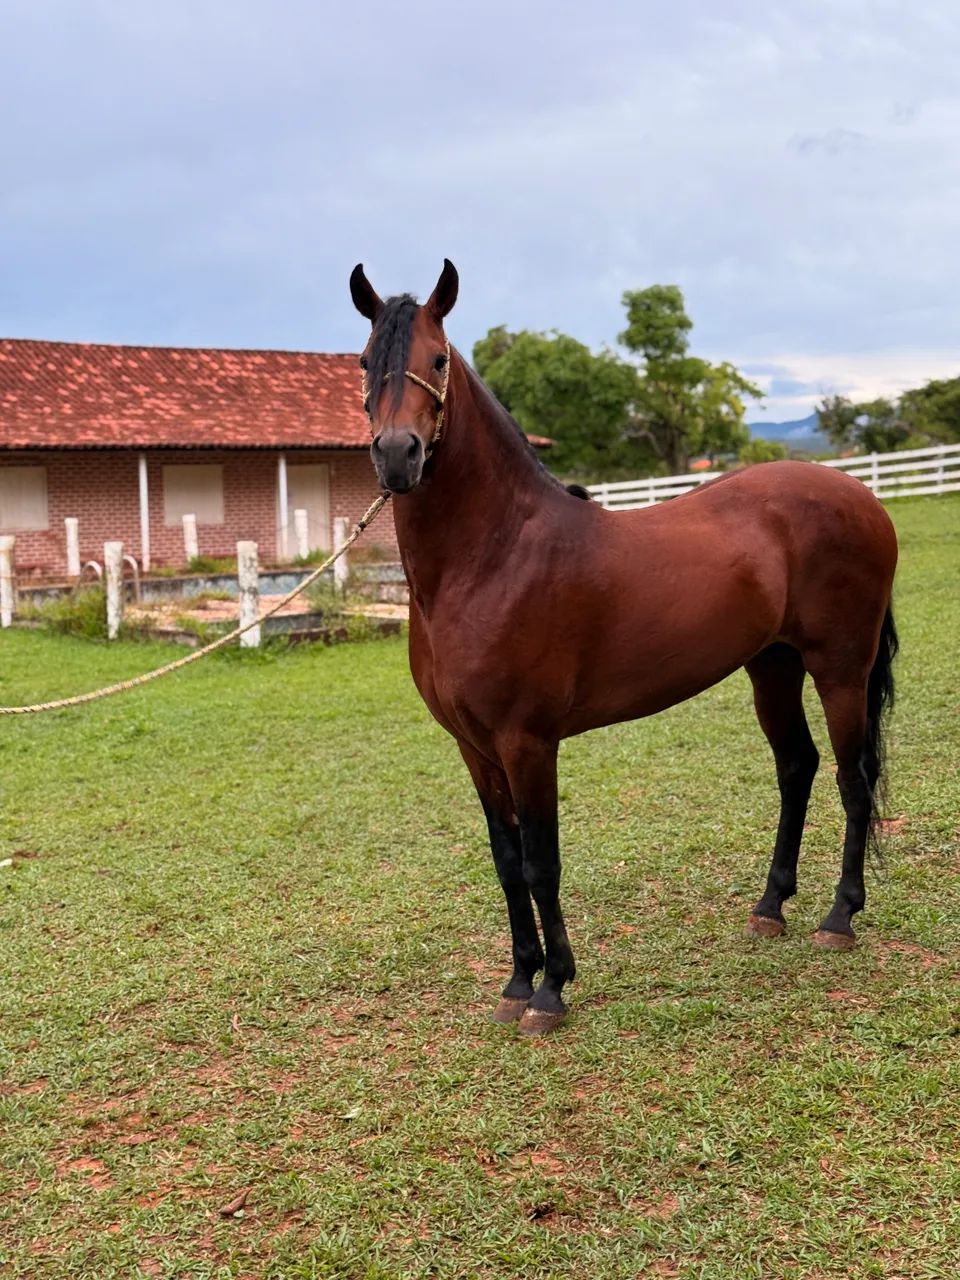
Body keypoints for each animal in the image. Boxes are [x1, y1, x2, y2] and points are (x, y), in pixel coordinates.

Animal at [349, 259, 899, 1036]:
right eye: (366, 361)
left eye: (437, 360)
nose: (399, 456)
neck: (491, 558)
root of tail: (865, 497)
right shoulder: (474, 746)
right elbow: (506, 861)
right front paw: (516, 983)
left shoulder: (527, 741)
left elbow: (542, 862)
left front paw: (551, 990)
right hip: (772, 667)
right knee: (798, 767)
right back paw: (770, 909)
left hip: (840, 668)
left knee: (854, 778)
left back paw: (839, 918)